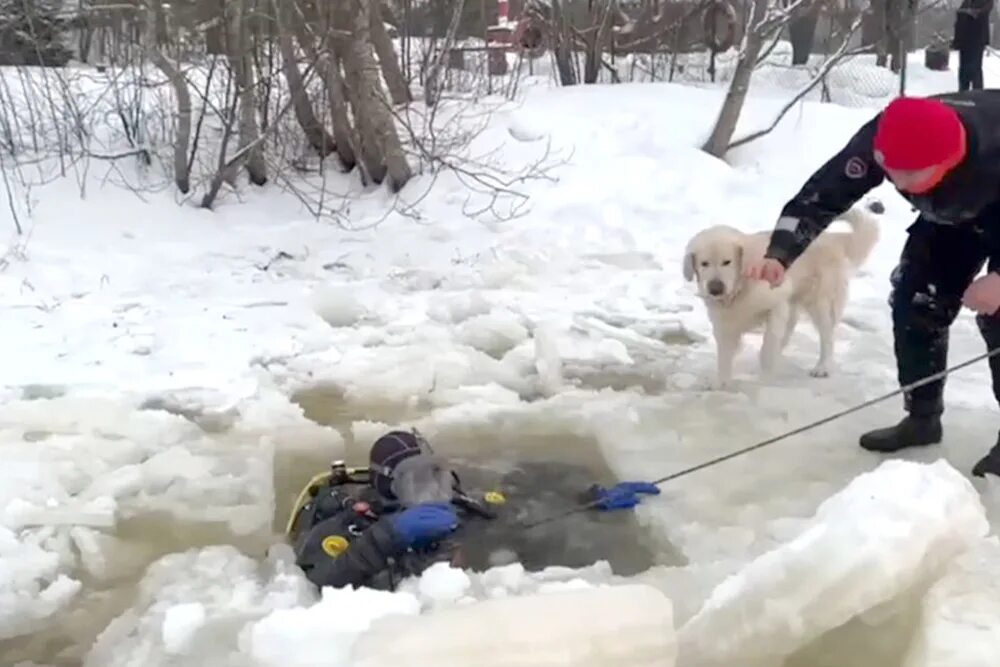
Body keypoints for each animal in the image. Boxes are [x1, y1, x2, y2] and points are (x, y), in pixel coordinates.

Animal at [684, 207, 880, 386]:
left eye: (727, 262)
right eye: (704, 263)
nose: (715, 289)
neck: (741, 286)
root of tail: (831, 238)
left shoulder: (776, 304)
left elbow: (768, 344)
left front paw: (765, 371)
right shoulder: (723, 323)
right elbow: (724, 356)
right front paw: (722, 384)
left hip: (819, 302)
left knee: (826, 336)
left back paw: (822, 367)